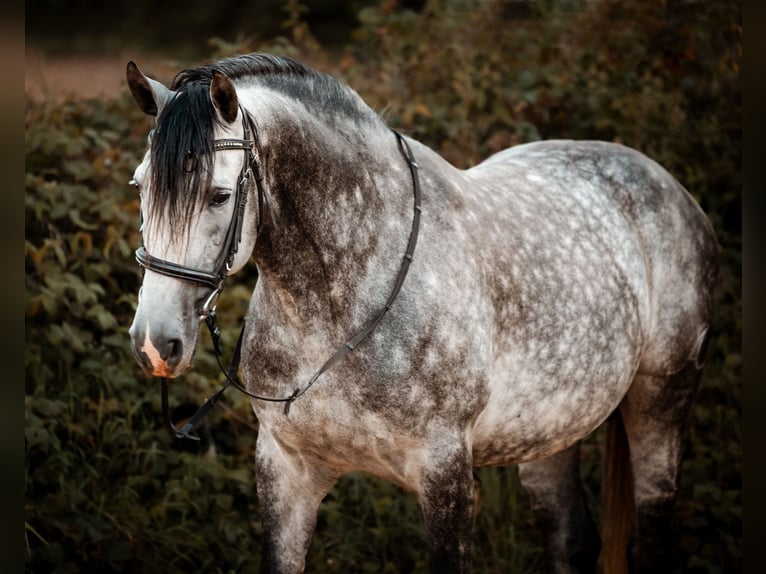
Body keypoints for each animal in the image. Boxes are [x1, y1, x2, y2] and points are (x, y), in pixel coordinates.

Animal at [126, 51, 720, 572]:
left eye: (220, 195)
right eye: (140, 185)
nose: (156, 342)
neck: (339, 304)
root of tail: (667, 185)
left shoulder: (446, 477)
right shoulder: (285, 469)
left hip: (661, 401)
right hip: (550, 432)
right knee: (570, 541)